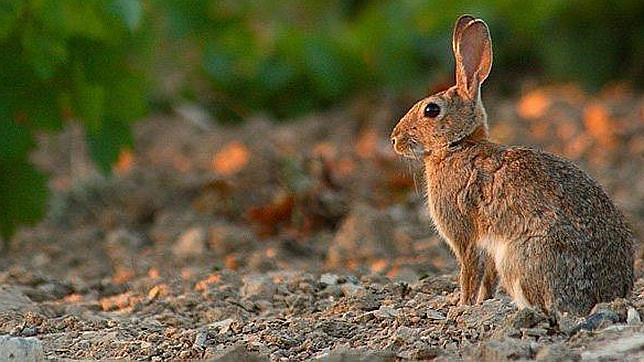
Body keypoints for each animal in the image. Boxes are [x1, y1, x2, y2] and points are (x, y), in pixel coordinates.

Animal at [388, 14, 632, 314]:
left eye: (431, 110)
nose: (395, 139)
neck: (458, 145)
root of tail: (608, 295)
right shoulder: (488, 246)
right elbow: (487, 278)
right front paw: (481, 303)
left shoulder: (465, 236)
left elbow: (469, 273)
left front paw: (462, 306)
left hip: (519, 258)